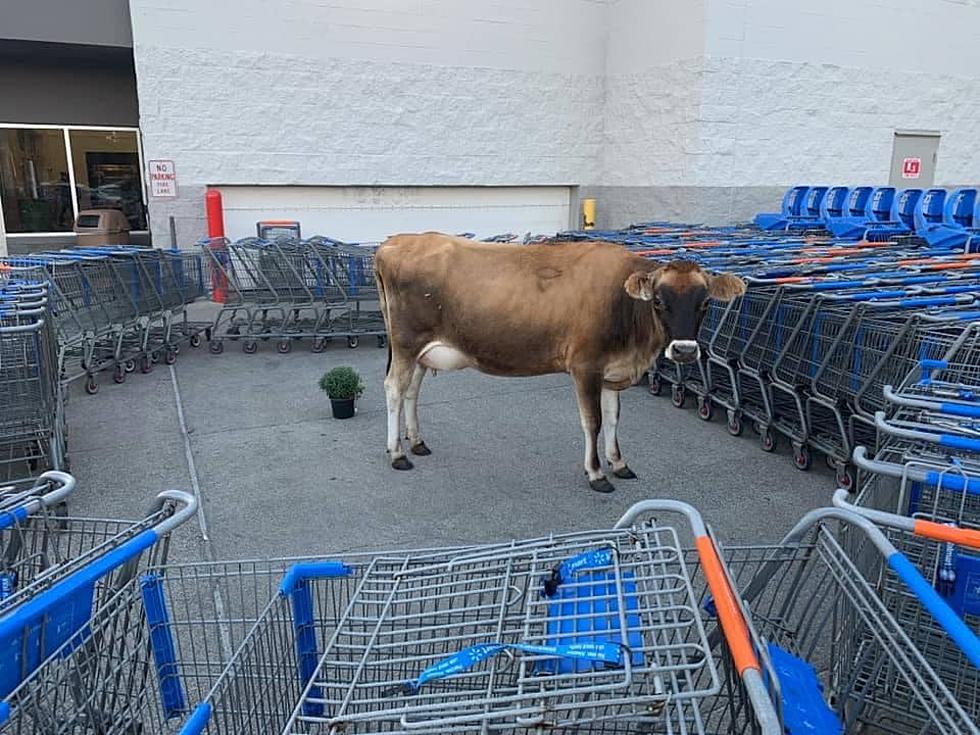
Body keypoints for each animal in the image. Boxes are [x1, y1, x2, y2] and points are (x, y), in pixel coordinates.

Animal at [374, 233, 744, 492]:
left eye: (705, 303)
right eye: (658, 301)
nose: (684, 350)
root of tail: (397, 241)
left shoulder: (613, 372)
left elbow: (614, 419)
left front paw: (618, 463)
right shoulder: (586, 366)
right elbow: (593, 422)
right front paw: (596, 473)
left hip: (421, 350)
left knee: (411, 391)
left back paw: (417, 442)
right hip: (406, 343)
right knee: (394, 389)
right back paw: (397, 453)